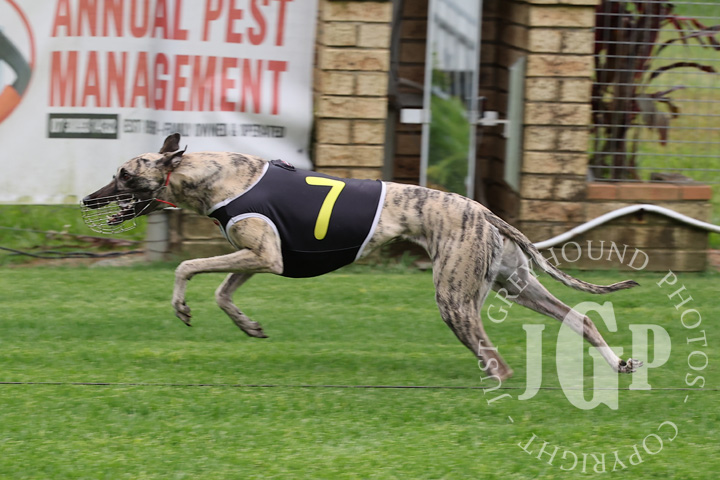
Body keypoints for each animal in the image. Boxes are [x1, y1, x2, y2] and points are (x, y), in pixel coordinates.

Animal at [83, 133, 642, 380]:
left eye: (124, 174)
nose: (87, 200)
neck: (217, 173)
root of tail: (485, 213)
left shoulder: (263, 254)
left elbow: (187, 266)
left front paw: (181, 306)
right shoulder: (260, 256)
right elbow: (223, 292)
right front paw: (248, 325)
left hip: (455, 298)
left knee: (496, 357)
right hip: (516, 284)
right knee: (580, 318)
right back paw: (619, 364)